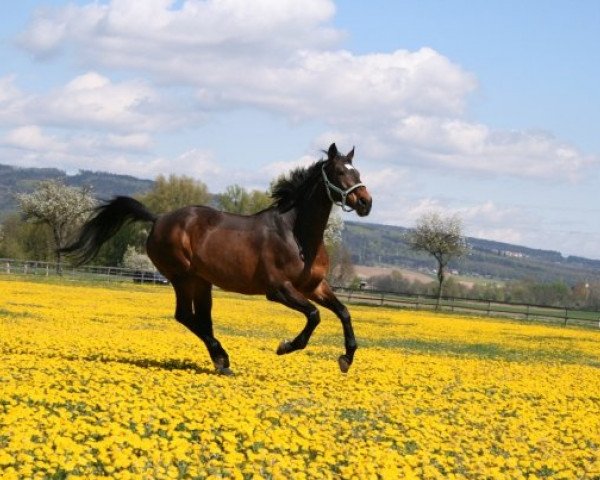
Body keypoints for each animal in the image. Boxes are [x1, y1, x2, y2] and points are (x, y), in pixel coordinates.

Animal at [61, 142, 370, 376]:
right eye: (339, 171)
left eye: (357, 171)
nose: (366, 202)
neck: (296, 234)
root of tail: (158, 219)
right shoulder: (279, 289)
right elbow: (315, 315)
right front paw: (285, 346)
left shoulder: (314, 286)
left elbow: (343, 311)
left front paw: (346, 359)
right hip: (182, 277)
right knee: (185, 316)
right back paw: (222, 358)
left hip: (202, 282)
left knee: (200, 319)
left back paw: (221, 361)